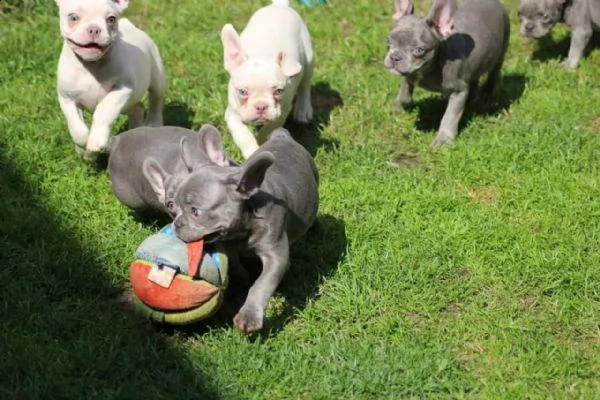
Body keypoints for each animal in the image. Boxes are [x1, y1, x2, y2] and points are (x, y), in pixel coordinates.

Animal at [55, 0, 166, 159]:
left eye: (111, 19)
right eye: (73, 18)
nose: (94, 29)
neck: (91, 66)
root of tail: (130, 26)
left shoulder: (122, 89)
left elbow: (104, 111)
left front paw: (95, 142)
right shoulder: (67, 98)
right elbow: (76, 127)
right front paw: (84, 150)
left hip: (157, 77)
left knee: (156, 99)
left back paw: (154, 123)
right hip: (127, 105)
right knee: (137, 109)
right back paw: (134, 132)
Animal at [172, 127, 318, 332]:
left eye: (195, 212)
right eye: (174, 207)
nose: (176, 224)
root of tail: (282, 136)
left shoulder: (276, 256)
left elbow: (261, 285)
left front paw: (249, 315)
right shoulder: (229, 243)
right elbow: (235, 265)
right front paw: (239, 283)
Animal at [220, 0, 314, 159]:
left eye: (279, 91)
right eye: (242, 92)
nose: (261, 106)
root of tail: (280, 6)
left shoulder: (281, 113)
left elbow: (268, 129)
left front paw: (261, 144)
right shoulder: (232, 114)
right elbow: (243, 135)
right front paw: (252, 150)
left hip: (308, 60)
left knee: (305, 85)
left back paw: (303, 109)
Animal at [384, 0, 510, 148]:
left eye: (419, 50)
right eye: (388, 41)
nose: (395, 58)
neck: (427, 69)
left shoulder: (459, 91)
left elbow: (450, 116)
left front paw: (444, 139)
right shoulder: (410, 73)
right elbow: (405, 91)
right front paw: (399, 107)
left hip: (502, 49)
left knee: (494, 72)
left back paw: (486, 94)